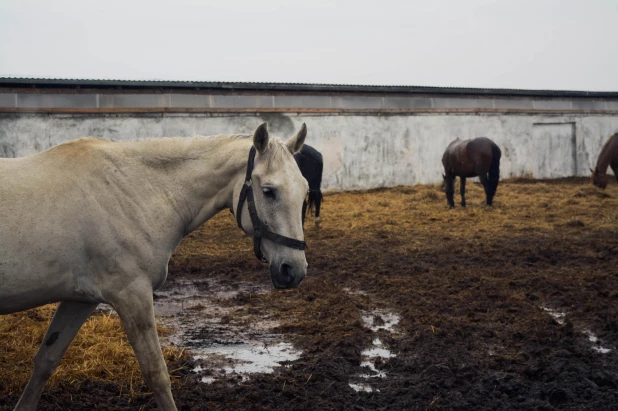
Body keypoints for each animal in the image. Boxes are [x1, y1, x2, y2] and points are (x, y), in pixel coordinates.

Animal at [0, 123, 308, 411]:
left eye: (305, 190)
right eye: (268, 192)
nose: (294, 270)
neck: (132, 190)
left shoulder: (79, 300)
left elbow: (45, 361)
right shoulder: (132, 295)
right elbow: (156, 374)